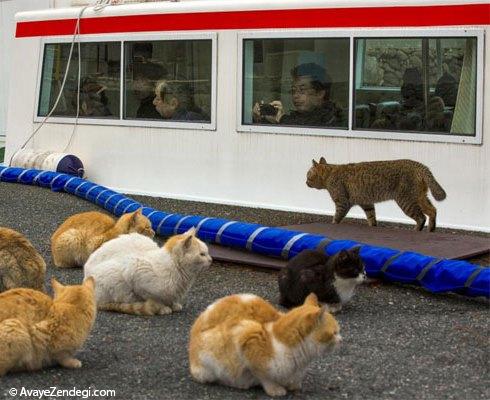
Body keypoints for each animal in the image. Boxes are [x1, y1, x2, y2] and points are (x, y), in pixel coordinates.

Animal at [83, 228, 212, 316]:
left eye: (207, 252)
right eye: (202, 254)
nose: (211, 259)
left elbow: (171, 298)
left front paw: (173, 305)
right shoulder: (135, 271)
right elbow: (153, 299)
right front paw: (162, 308)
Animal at [188, 292, 340, 396]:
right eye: (334, 333)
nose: (341, 339)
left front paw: (293, 385)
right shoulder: (248, 335)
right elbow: (263, 376)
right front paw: (275, 389)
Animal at [308, 157, 446, 231]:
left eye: (308, 175)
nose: (305, 182)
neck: (330, 173)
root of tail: (419, 165)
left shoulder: (342, 202)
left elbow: (336, 218)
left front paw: (333, 224)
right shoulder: (367, 203)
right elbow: (372, 218)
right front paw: (373, 226)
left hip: (406, 201)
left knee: (421, 217)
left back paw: (417, 230)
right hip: (420, 197)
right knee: (433, 210)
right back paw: (431, 229)